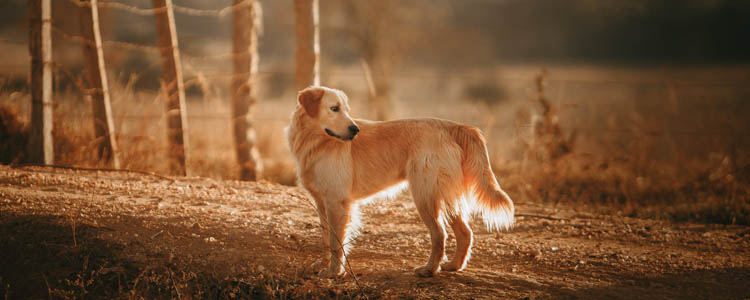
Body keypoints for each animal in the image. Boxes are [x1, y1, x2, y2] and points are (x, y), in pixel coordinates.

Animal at [284, 85, 516, 278]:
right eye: (334, 108)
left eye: (345, 110)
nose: (355, 130)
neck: (315, 141)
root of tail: (453, 126)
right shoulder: (322, 202)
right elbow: (325, 238)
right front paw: (324, 265)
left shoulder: (336, 202)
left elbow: (335, 241)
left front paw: (334, 272)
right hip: (445, 195)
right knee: (465, 233)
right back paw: (453, 266)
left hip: (424, 195)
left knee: (439, 234)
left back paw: (430, 269)